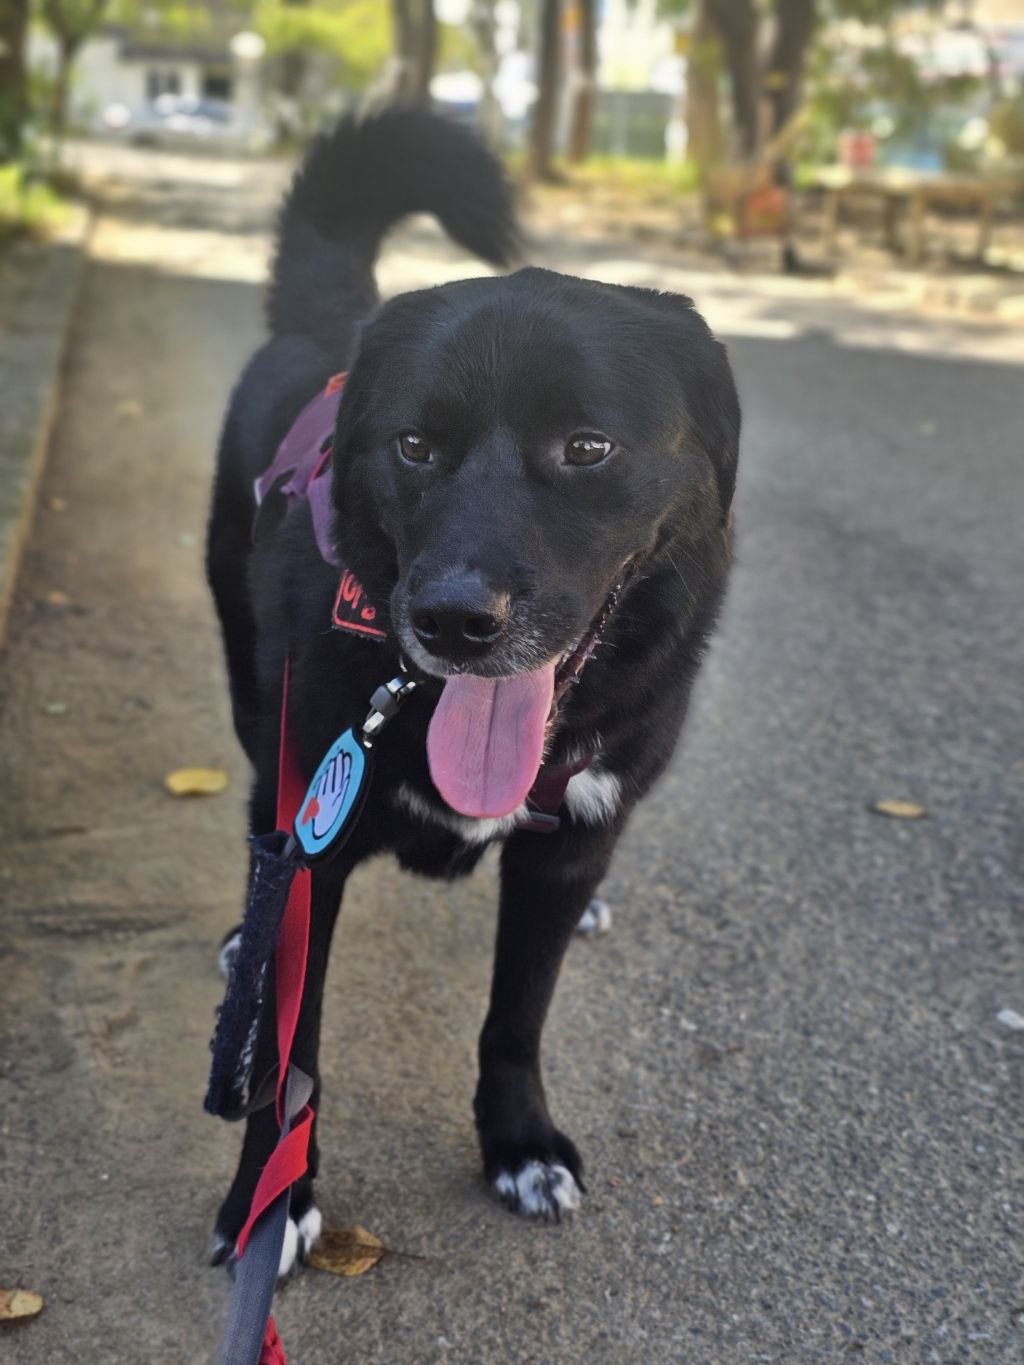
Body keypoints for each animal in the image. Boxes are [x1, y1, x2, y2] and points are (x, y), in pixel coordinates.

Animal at [206, 109, 740, 1274]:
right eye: (414, 444)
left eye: (587, 447)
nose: (451, 620)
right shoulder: (314, 843)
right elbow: (290, 1050)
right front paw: (272, 1194)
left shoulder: (565, 853)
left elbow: (516, 1018)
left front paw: (520, 1143)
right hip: (251, 703)